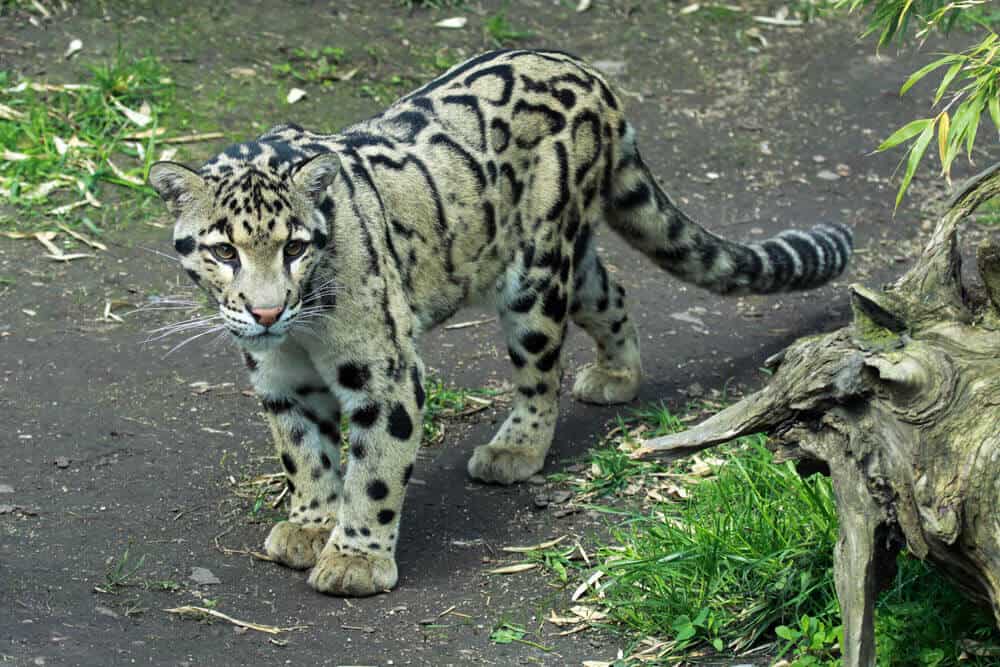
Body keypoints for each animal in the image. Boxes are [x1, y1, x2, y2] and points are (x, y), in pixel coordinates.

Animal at [148, 48, 852, 600]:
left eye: (295, 246)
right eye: (223, 251)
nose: (266, 310)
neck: (302, 337)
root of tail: (591, 74)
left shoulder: (383, 371)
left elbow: (374, 468)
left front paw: (355, 559)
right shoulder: (279, 379)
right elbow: (303, 453)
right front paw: (310, 524)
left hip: (536, 273)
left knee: (541, 369)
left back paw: (514, 449)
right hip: (569, 264)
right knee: (611, 291)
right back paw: (617, 376)